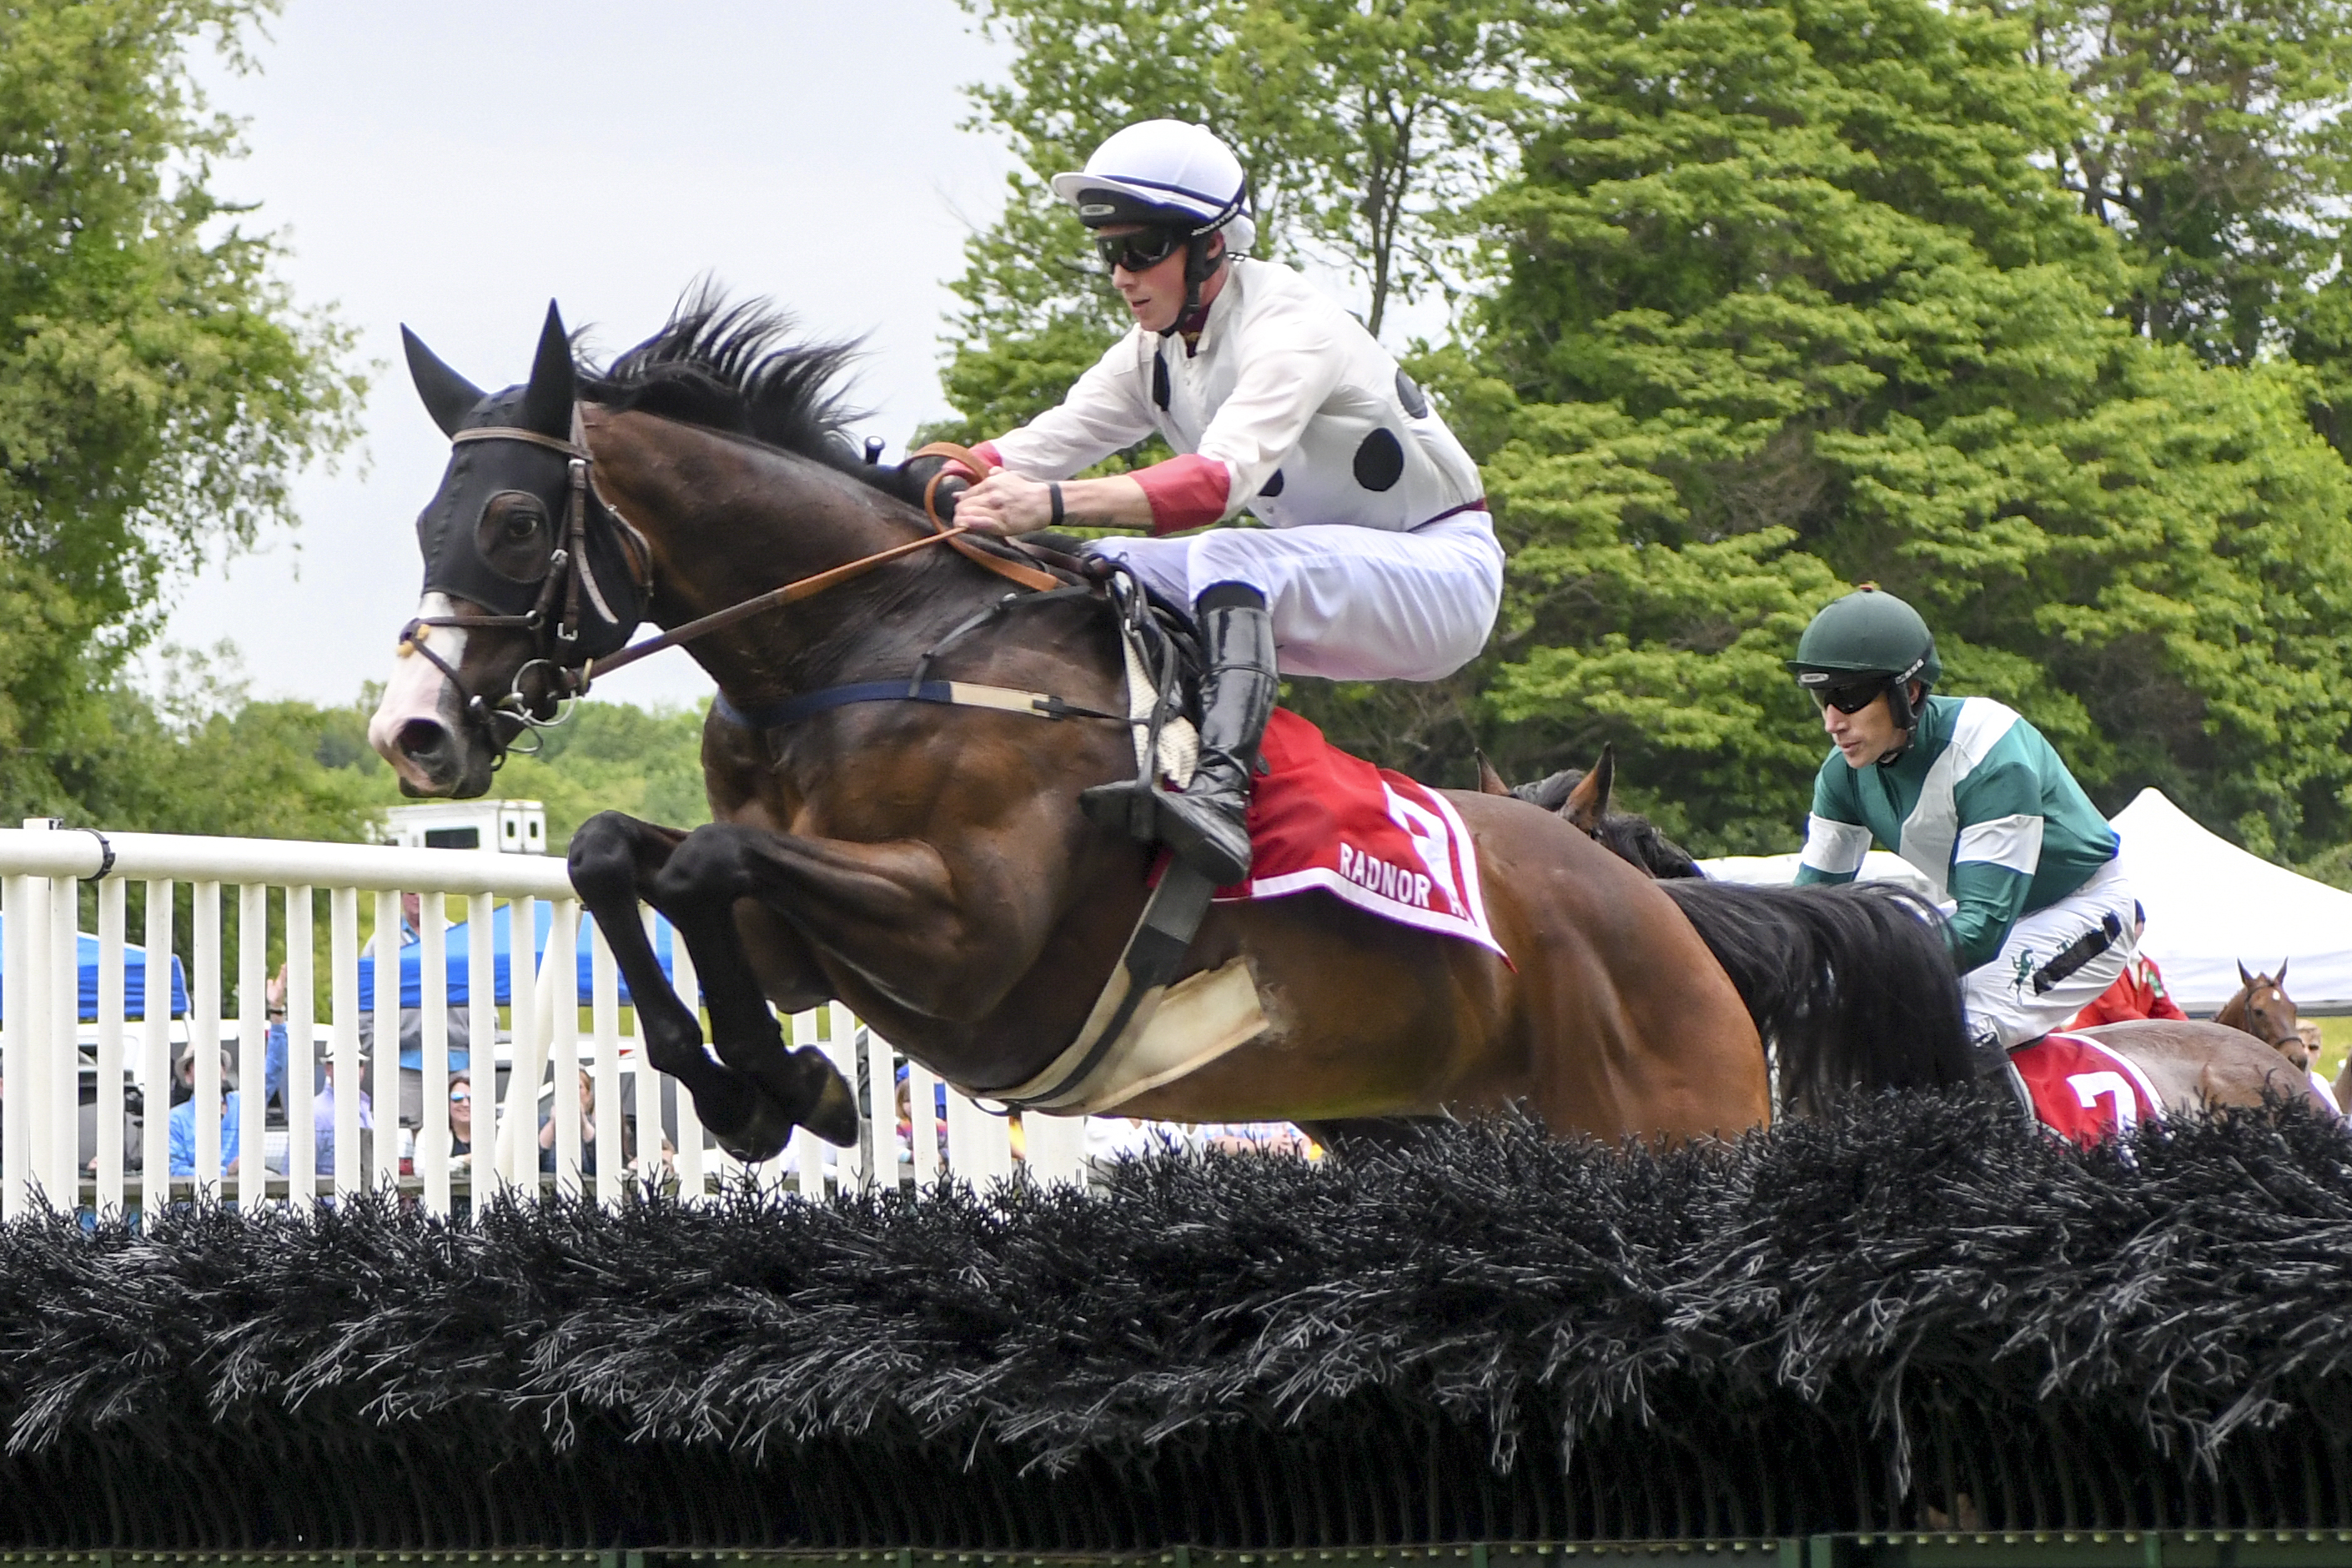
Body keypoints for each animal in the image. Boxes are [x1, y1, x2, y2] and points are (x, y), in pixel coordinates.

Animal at [366, 300, 1843, 1161]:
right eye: (424, 523)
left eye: (513, 525)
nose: (415, 731)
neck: (865, 646)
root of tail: (1670, 923)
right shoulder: (811, 943)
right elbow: (620, 854)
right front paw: (757, 1086)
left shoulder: (972, 940)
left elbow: (706, 866)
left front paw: (776, 1089)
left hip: (1670, 1123)